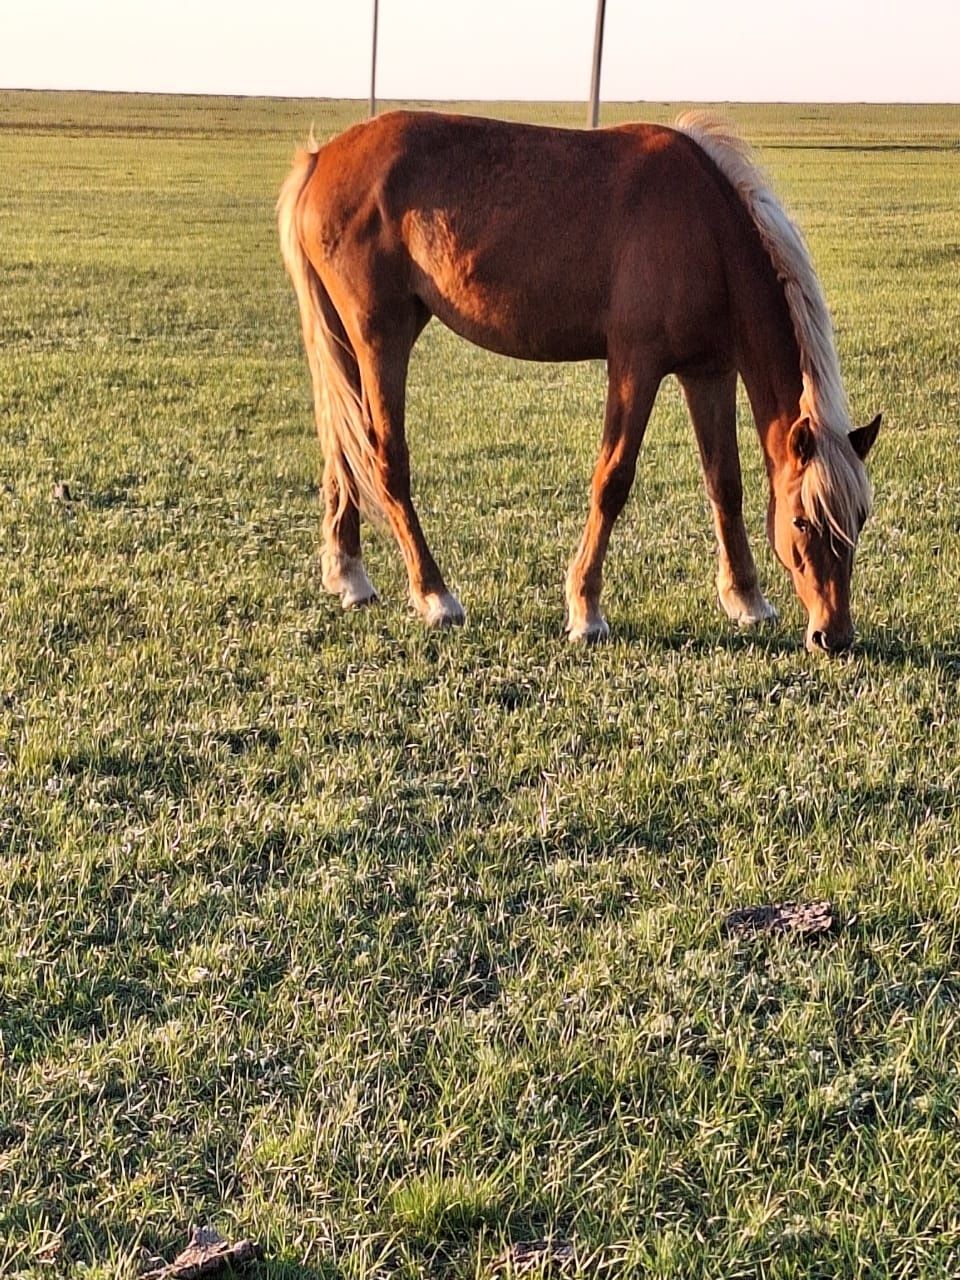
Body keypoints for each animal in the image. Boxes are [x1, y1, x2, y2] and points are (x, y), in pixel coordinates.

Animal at [276, 107, 880, 650]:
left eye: (860, 518)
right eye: (803, 522)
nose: (833, 635)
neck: (707, 230)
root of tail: (321, 159)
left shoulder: (707, 373)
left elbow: (724, 484)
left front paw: (746, 599)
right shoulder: (636, 365)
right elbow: (612, 481)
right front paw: (586, 609)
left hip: (345, 343)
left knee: (341, 447)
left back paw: (350, 575)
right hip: (382, 338)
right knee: (385, 458)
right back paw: (435, 596)